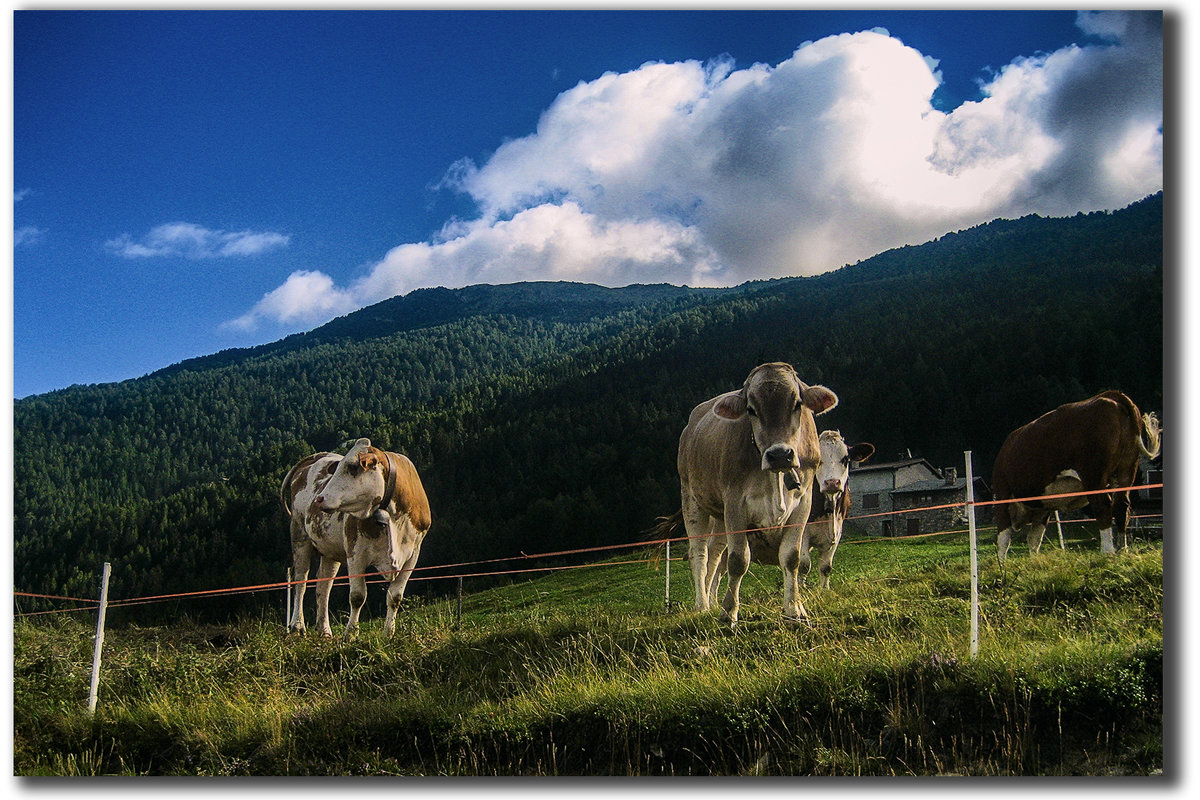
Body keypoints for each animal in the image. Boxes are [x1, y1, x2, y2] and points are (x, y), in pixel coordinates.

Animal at [280, 438, 432, 638]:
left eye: (352, 467)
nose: (319, 499)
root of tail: (316, 457)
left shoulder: (412, 555)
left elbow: (395, 597)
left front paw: (388, 634)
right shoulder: (356, 553)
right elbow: (357, 596)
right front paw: (351, 633)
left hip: (330, 550)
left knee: (323, 587)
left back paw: (325, 631)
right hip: (299, 535)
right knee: (301, 582)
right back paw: (297, 627)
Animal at [681, 362, 840, 623]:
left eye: (797, 403)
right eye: (751, 409)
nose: (780, 455)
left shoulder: (803, 503)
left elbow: (792, 558)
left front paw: (794, 610)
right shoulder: (735, 503)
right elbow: (738, 560)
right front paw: (728, 612)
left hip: (719, 514)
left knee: (714, 553)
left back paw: (711, 602)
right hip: (692, 500)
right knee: (699, 554)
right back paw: (702, 605)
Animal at [988, 391, 1156, 561]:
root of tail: (1112, 396)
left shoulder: (1003, 494)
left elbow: (1004, 537)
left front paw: (1001, 563)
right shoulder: (1044, 506)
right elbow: (1034, 538)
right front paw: (1034, 560)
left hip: (1094, 475)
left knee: (1103, 506)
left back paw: (1107, 551)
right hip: (1127, 469)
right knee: (1122, 507)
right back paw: (1122, 550)